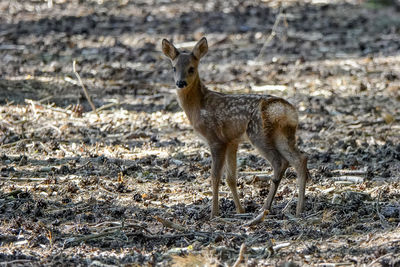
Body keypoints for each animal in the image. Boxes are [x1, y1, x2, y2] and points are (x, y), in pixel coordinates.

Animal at [162, 37, 310, 219]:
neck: (198, 107)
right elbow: (231, 178)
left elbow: (215, 177)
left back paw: (265, 207)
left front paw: (214, 213)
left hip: (258, 134)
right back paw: (298, 209)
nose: (180, 83)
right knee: (300, 159)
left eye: (191, 68)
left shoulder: (215, 139)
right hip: (283, 135)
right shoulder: (232, 141)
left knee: (280, 162)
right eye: (174, 67)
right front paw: (240, 210)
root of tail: (285, 111)